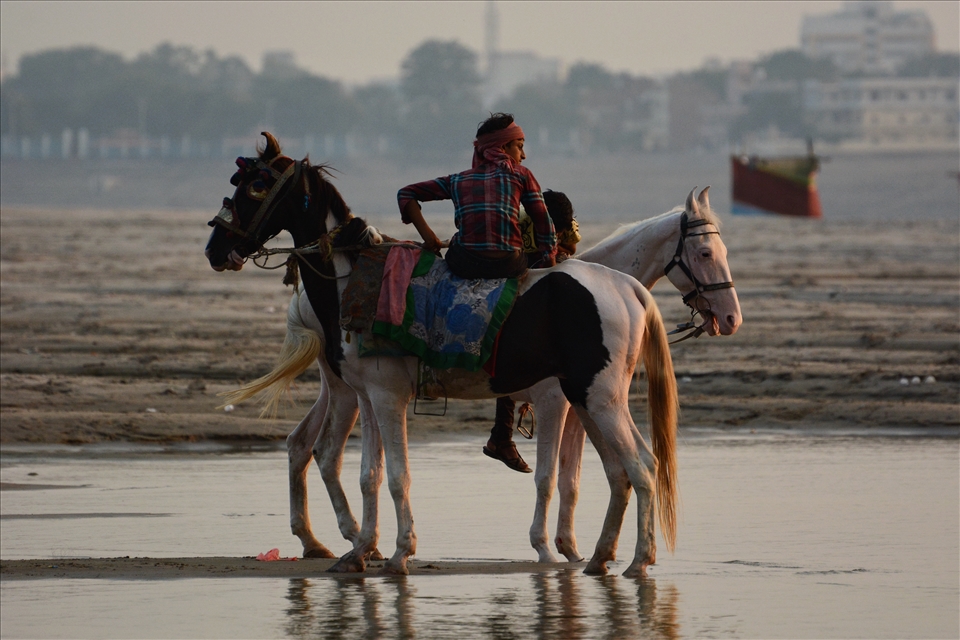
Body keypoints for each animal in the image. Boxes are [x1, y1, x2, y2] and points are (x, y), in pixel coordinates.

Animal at [206, 133, 679, 577]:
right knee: (623, 471)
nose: (214, 248)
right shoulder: (369, 397)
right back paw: (601, 558)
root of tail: (627, 289)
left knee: (641, 465)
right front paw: (361, 552)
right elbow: (370, 476)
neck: (351, 279)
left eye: (257, 185)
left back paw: (639, 560)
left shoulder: (388, 396)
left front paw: (399, 552)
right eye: (237, 181)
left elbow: (399, 477)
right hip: (584, 398)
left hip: (599, 398)